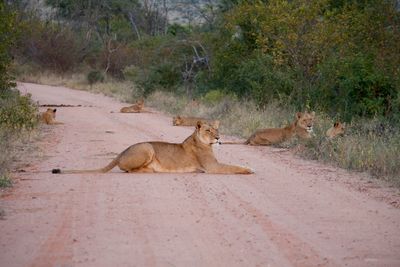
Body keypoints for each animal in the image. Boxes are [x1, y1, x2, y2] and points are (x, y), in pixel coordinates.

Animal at [52, 121, 253, 176]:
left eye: (217, 129)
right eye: (208, 130)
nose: (219, 138)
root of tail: (121, 152)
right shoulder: (212, 167)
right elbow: (233, 167)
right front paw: (249, 170)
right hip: (147, 147)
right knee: (130, 170)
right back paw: (150, 170)